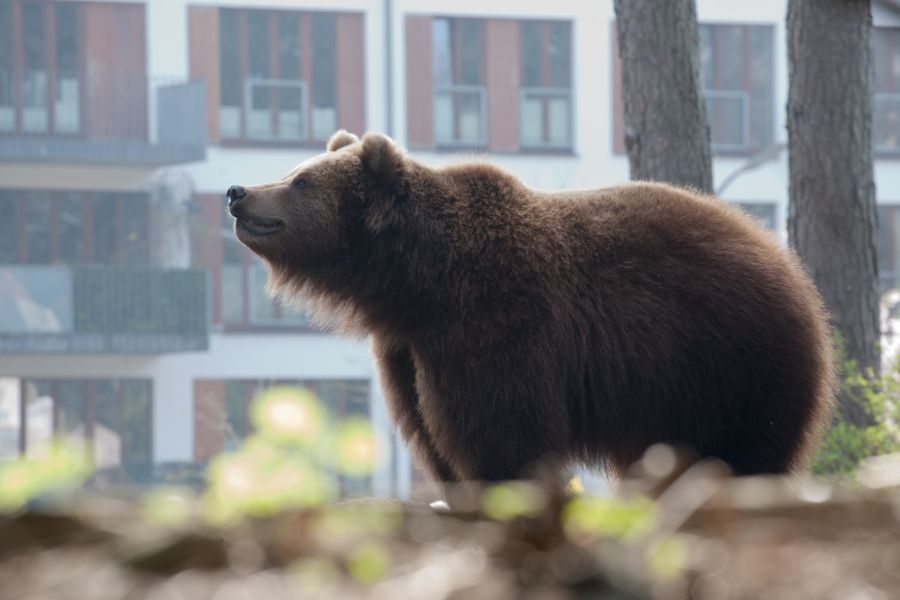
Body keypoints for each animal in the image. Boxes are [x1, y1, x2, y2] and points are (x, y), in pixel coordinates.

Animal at [225, 130, 836, 488]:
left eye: (301, 180)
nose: (238, 192)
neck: (417, 279)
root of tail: (785, 260)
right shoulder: (407, 347)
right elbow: (430, 429)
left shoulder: (495, 319)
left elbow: (500, 427)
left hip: (730, 357)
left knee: (744, 446)